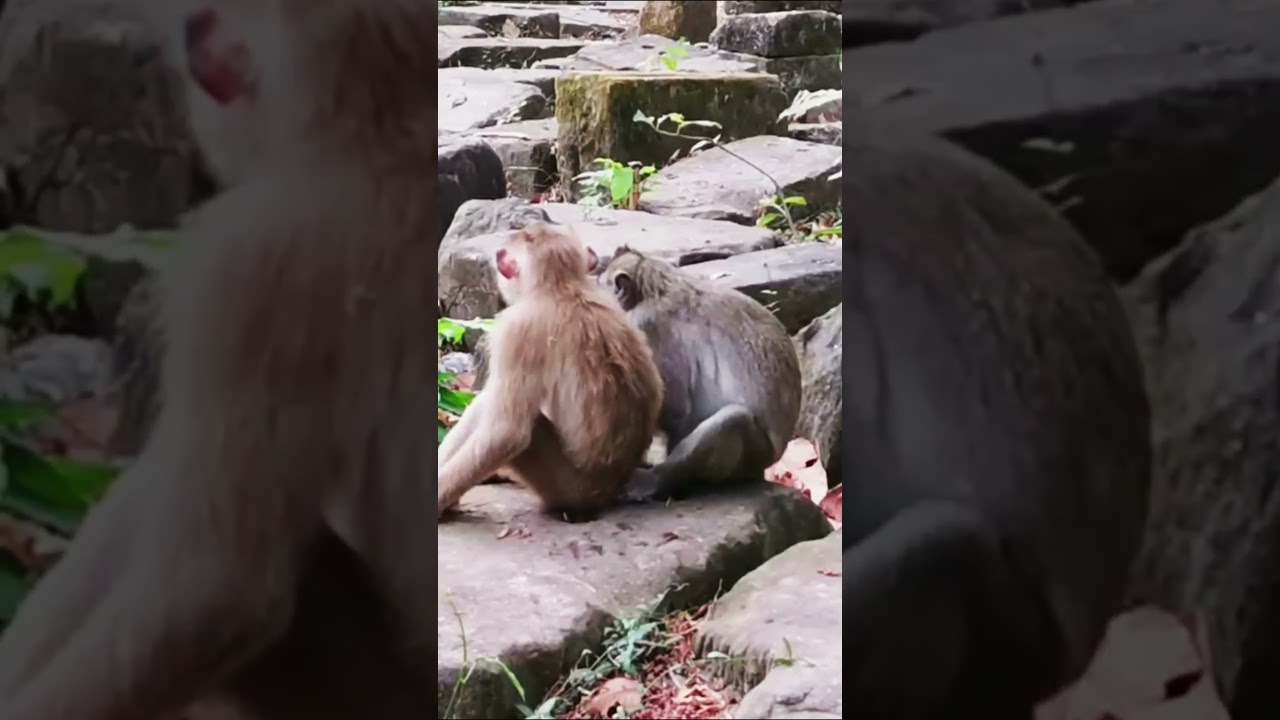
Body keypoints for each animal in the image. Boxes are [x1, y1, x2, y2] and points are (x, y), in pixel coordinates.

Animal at [593, 247, 802, 503]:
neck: (657, 287)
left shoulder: (646, 328)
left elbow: (676, 409)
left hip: (754, 455)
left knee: (732, 421)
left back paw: (659, 481)